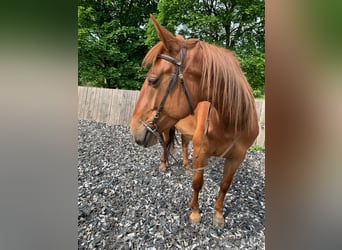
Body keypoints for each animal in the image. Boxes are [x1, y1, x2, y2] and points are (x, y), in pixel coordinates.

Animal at [130, 15, 258, 227]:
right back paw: (164, 164)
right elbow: (198, 183)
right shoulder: (201, 152)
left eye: (153, 80)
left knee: (183, 144)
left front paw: (218, 214)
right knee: (166, 143)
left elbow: (225, 185)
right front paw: (195, 213)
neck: (230, 122)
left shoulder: (237, 158)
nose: (134, 129)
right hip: (166, 128)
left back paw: (185, 165)